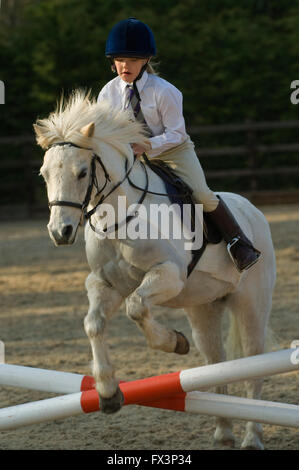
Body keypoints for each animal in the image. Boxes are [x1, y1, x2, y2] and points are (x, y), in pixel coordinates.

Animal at [34, 91, 276, 448]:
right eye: (45, 174)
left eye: (81, 172)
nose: (60, 232)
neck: (118, 219)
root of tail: (252, 209)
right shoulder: (105, 284)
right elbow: (93, 323)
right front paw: (108, 393)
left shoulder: (168, 276)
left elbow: (136, 308)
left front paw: (174, 342)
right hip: (204, 307)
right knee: (215, 360)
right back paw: (223, 433)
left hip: (251, 305)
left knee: (252, 361)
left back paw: (252, 437)